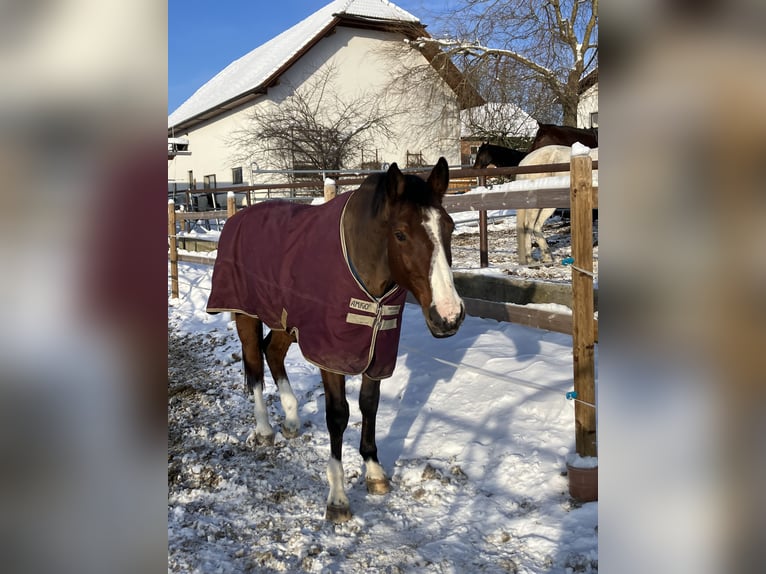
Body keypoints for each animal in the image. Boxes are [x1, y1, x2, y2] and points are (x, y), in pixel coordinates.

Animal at [207, 160, 464, 524]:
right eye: (400, 233)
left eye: (449, 228)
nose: (449, 315)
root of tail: (236, 218)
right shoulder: (331, 355)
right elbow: (339, 415)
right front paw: (338, 497)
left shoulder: (377, 350)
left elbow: (369, 405)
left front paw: (374, 471)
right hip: (247, 314)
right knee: (255, 363)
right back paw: (265, 430)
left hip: (288, 319)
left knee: (272, 352)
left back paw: (291, 419)